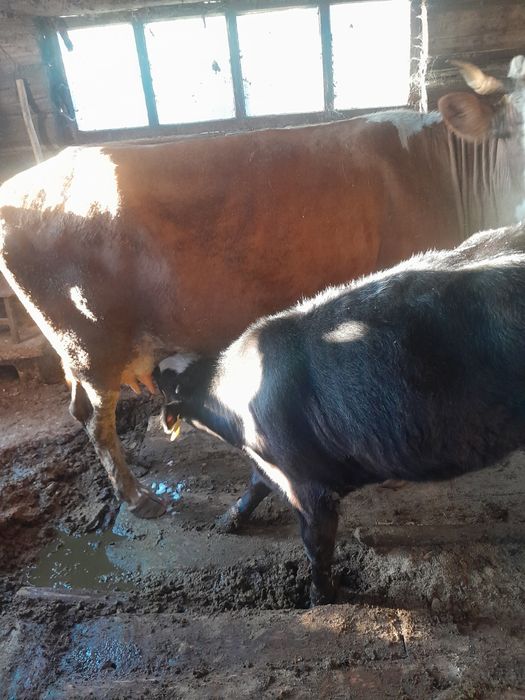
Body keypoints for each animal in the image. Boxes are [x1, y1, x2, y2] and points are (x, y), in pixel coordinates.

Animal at [0, 58, 523, 519]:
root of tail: (29, 181)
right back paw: (136, 497)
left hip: (80, 348)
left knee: (80, 409)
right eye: (516, 128)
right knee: (95, 416)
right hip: (90, 340)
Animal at [155, 222, 525, 605]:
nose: (153, 370)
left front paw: (320, 599)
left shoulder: (309, 488)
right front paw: (226, 521)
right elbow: (255, 485)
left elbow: (316, 548)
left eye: (169, 386)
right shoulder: (275, 466)